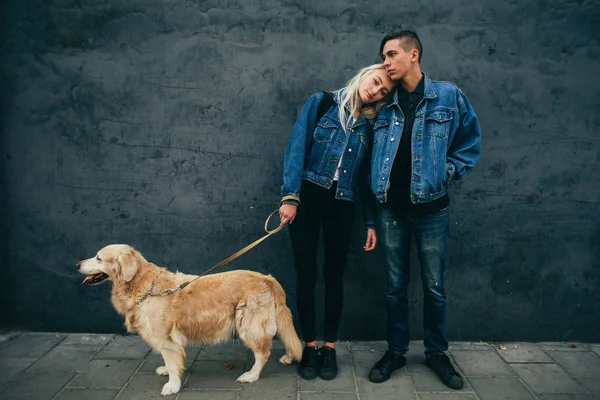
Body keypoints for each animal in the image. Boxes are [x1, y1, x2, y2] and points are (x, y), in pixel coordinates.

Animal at [77, 245, 302, 396]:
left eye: (98, 258)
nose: (77, 263)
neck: (145, 288)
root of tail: (268, 278)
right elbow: (170, 361)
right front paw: (166, 371)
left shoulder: (166, 338)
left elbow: (172, 361)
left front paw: (172, 385)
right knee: (285, 337)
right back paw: (288, 357)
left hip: (248, 325)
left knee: (263, 353)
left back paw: (251, 375)